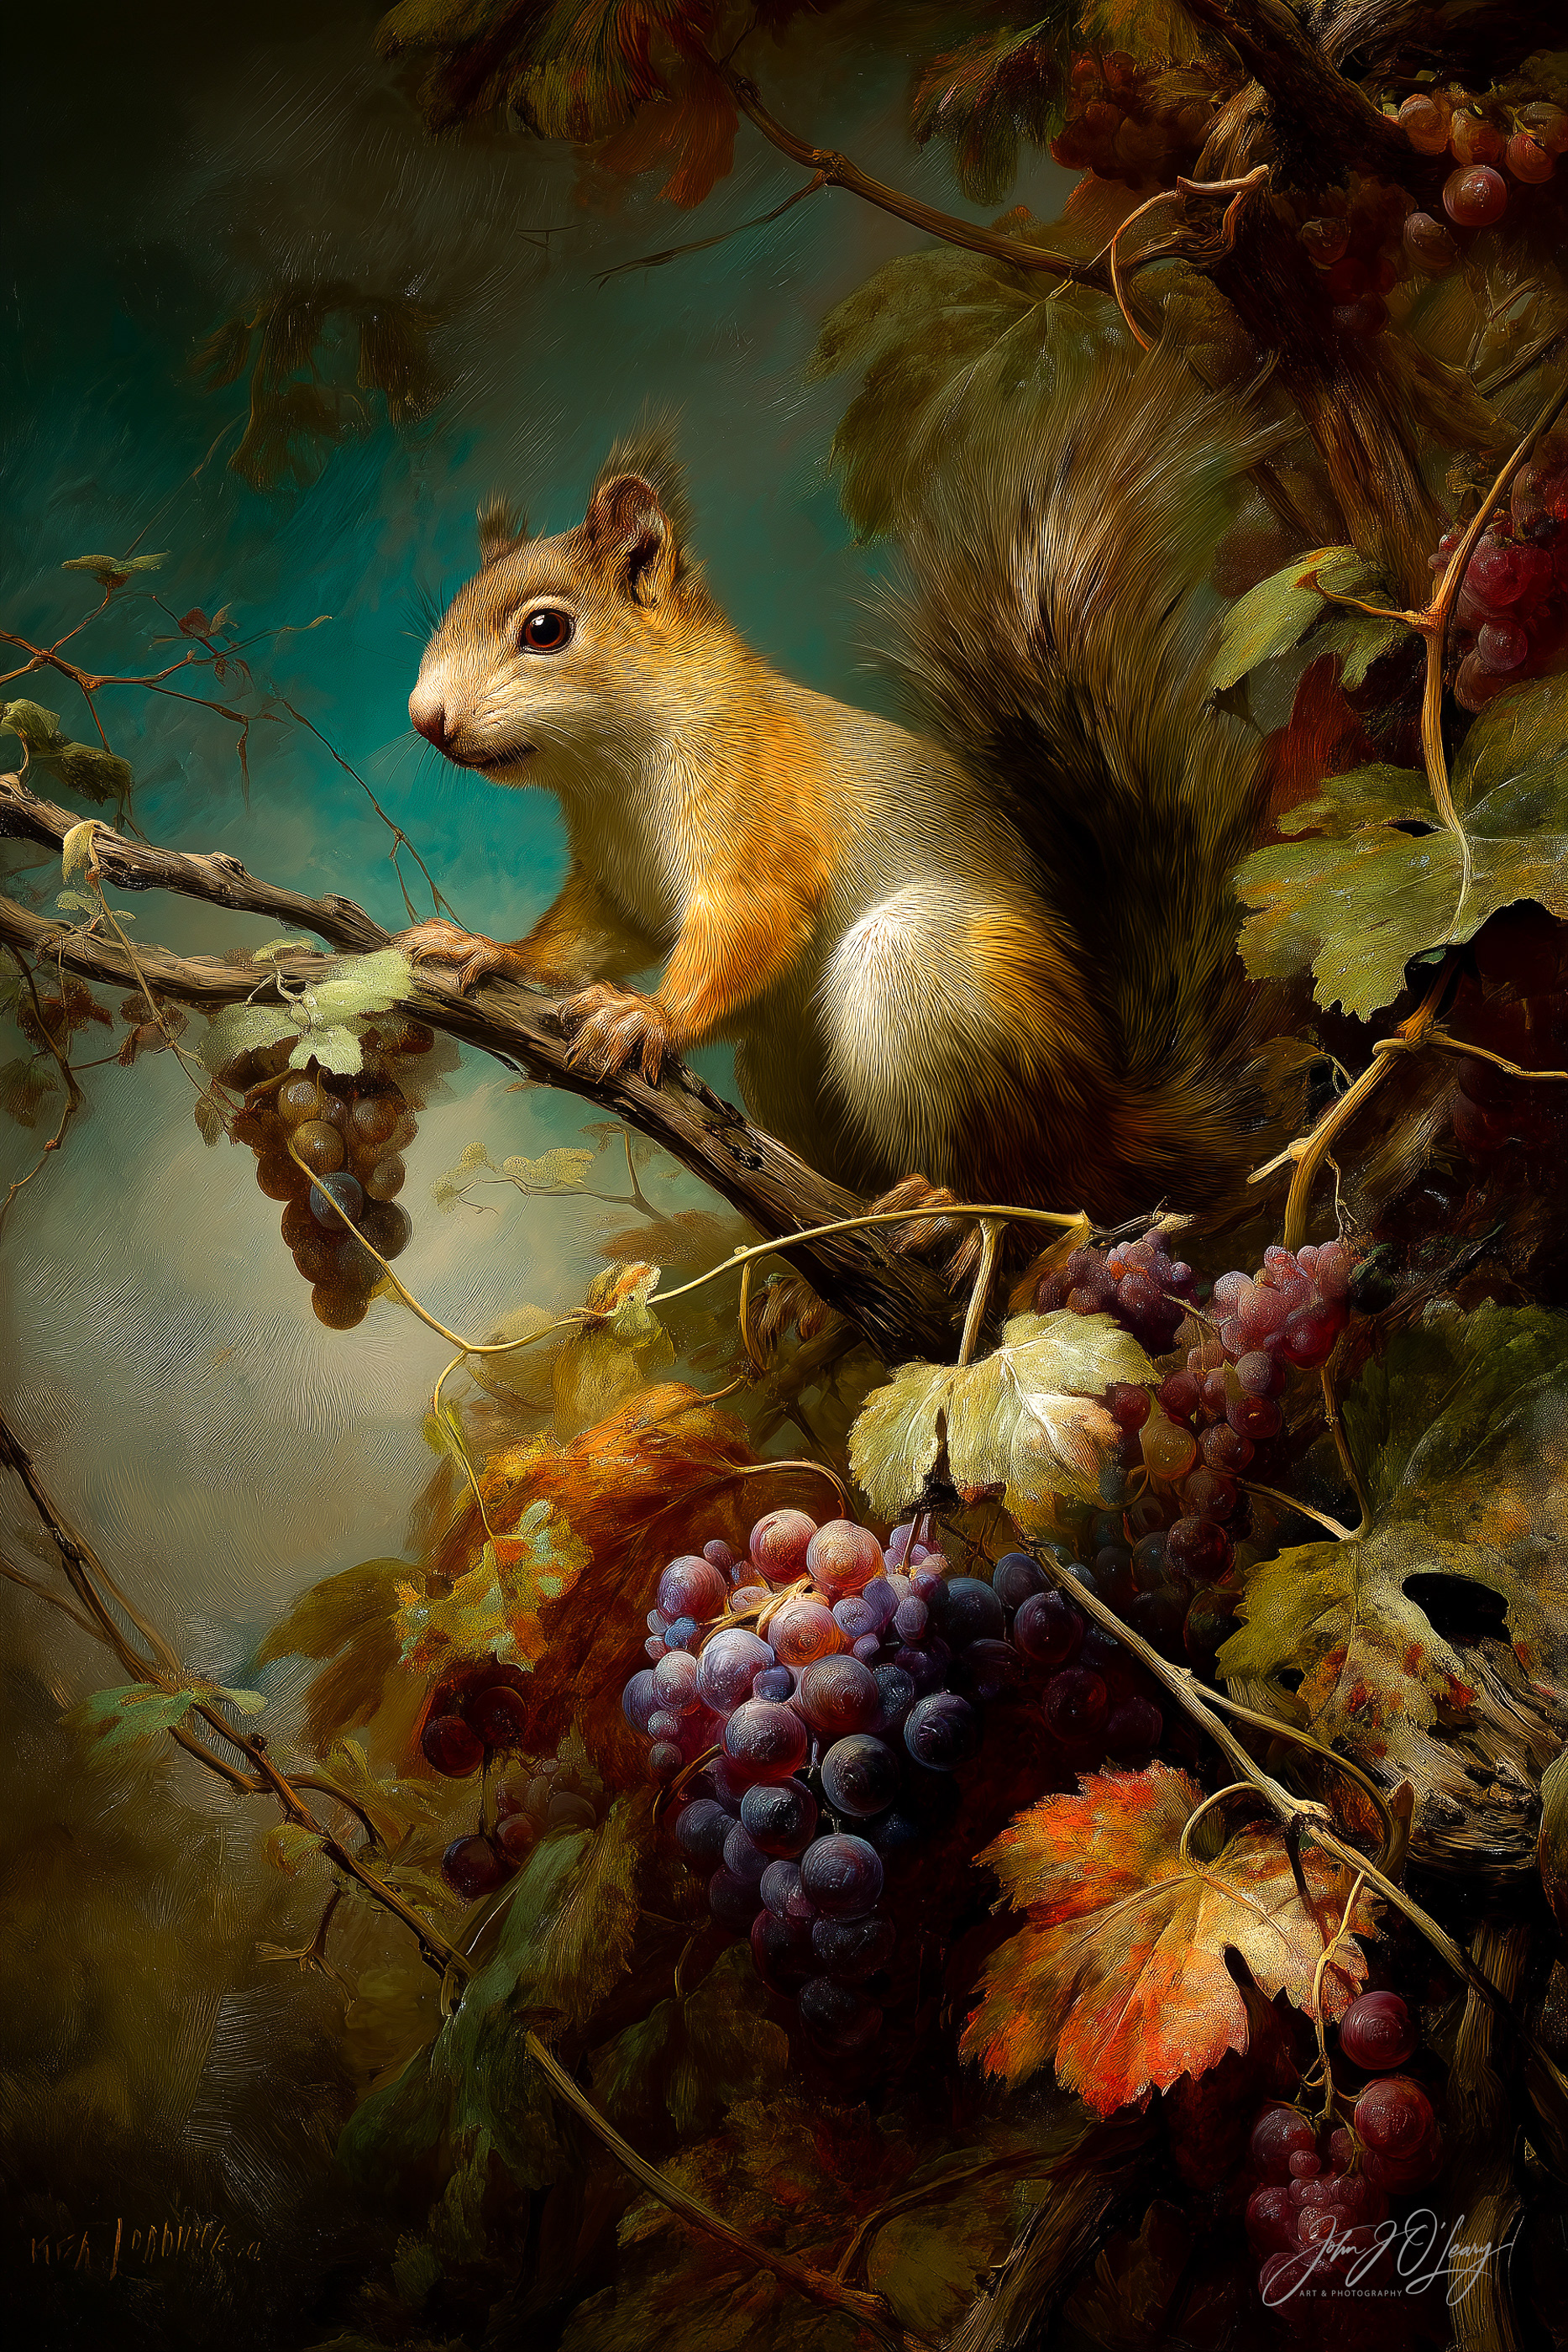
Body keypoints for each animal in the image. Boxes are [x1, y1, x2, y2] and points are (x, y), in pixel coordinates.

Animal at [402, 363, 1290, 1252]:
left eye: (545, 630)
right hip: (789, 1068)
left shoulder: (759, 825)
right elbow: (581, 941)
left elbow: (749, 926)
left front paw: (647, 1016)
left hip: (926, 981)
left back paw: (949, 1211)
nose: (425, 719)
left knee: (1036, 1188)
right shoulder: (614, 886)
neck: (613, 772)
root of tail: (1102, 1112)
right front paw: (491, 951)